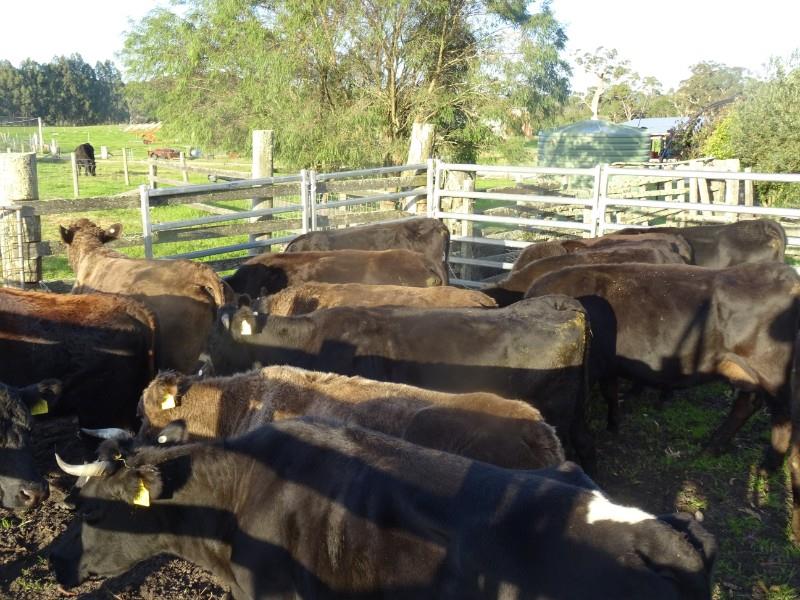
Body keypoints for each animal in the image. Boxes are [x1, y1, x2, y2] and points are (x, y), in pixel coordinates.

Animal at [525, 262, 800, 540]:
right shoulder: (607, 367)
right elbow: (610, 392)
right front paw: (614, 424)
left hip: (773, 374)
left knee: (783, 418)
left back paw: (770, 467)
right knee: (750, 404)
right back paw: (721, 450)